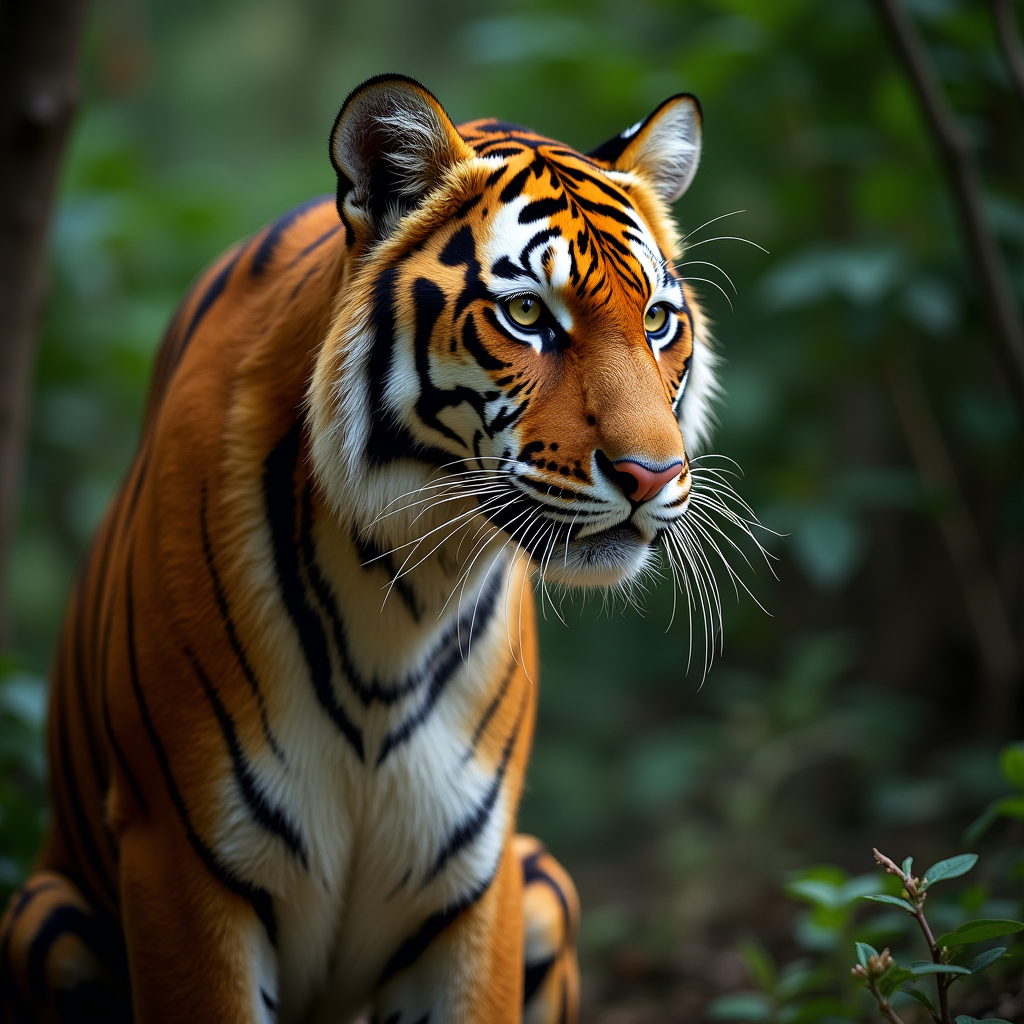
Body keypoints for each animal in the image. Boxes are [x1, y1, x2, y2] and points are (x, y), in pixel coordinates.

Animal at [0, 73, 717, 1023]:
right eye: (528, 313)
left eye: (659, 319)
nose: (652, 474)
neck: (406, 587)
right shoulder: (180, 863)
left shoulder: (474, 884)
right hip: (42, 913)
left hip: (544, 882)